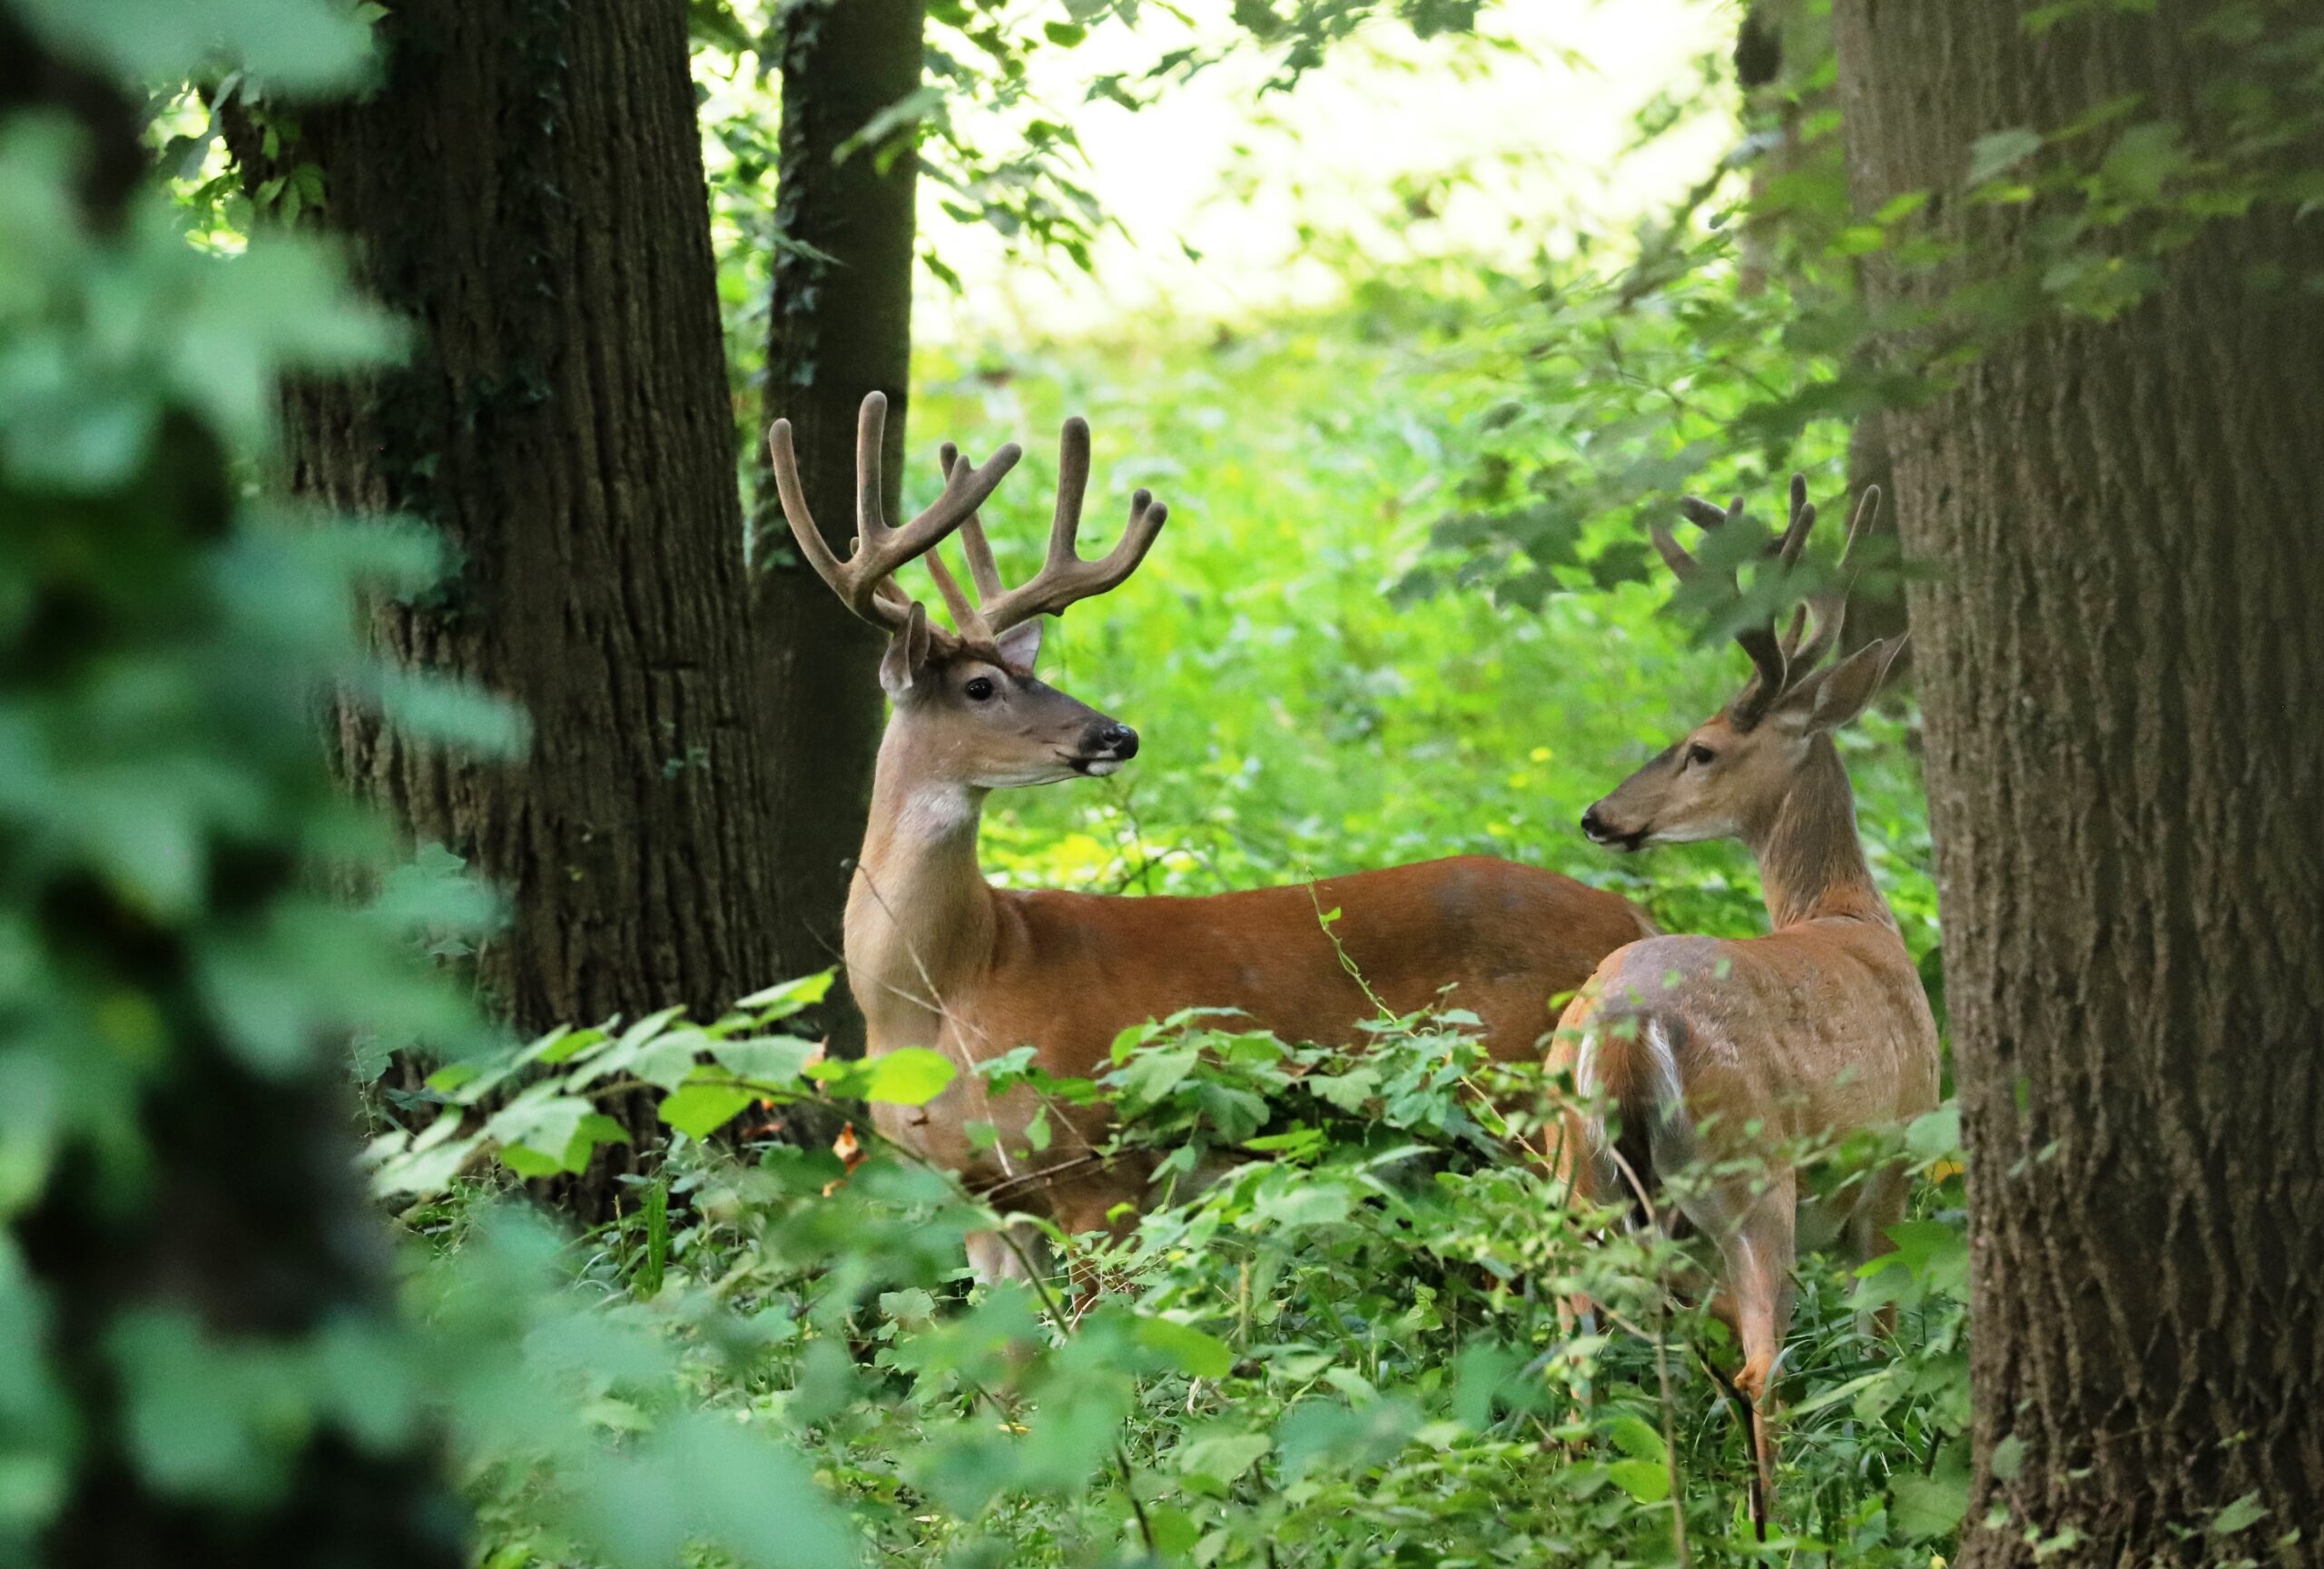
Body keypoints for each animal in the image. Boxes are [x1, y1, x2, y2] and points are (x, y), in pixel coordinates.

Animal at [768, 391, 1658, 1287]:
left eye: (1029, 674)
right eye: (982, 686)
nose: (1116, 734)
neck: (948, 988)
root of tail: (1632, 921)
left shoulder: (1100, 1163)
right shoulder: (978, 1198)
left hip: (1532, 1093)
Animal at [1546, 476, 1940, 1529]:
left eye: (1701, 749)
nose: (1597, 815)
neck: (1850, 915)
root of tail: (1621, 1030)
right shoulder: (1892, 1167)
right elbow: (1884, 1344)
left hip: (1577, 1178)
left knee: (1580, 1351)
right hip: (1754, 1178)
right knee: (1760, 1363)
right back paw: (1774, 1528)